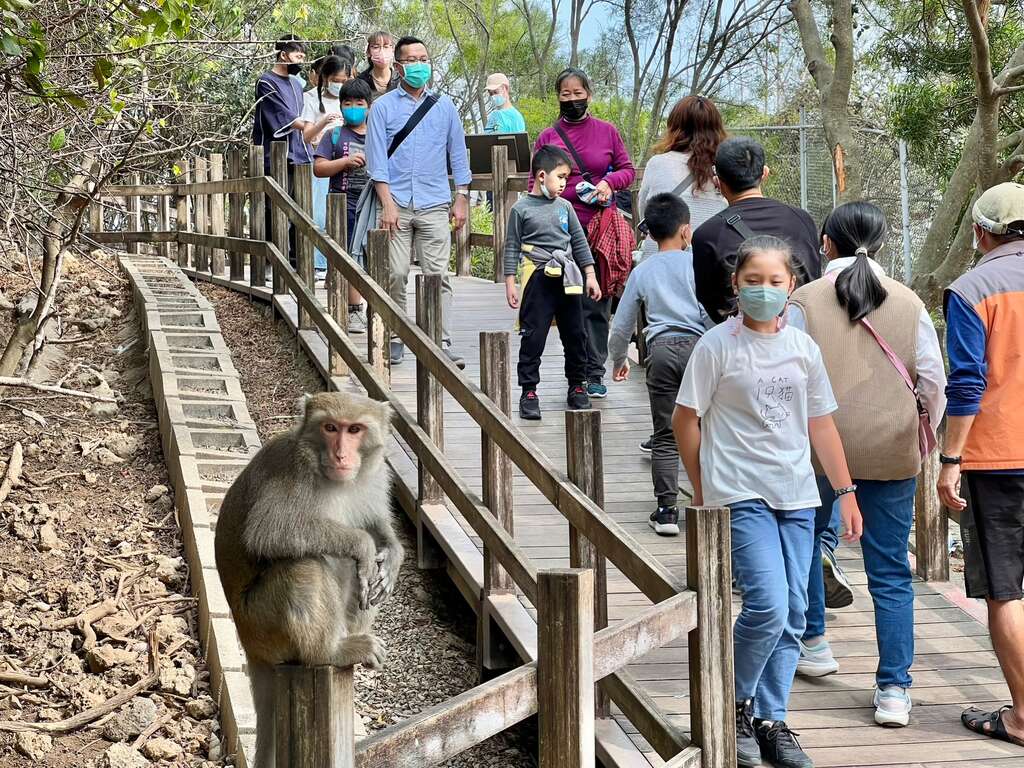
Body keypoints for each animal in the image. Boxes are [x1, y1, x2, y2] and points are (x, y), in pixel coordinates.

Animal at [215, 393, 403, 765]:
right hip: (263, 625)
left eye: (354, 430)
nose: (340, 454)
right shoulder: (294, 470)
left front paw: (392, 555)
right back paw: (329, 650)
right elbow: (270, 531)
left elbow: (376, 525)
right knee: (303, 563)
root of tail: (247, 642)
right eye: (330, 427)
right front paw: (362, 545)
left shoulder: (376, 477)